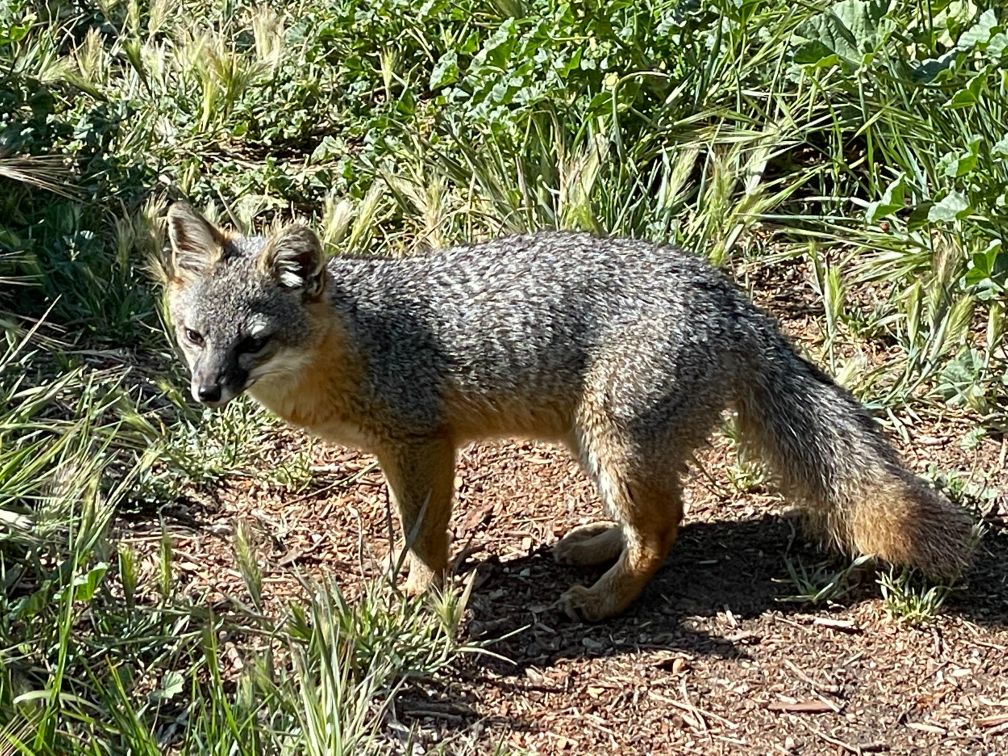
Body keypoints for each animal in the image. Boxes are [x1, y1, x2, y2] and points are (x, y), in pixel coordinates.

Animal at [163, 201, 975, 620]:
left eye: (254, 342)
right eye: (196, 336)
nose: (205, 391)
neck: (354, 339)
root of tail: (725, 290)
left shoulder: (423, 442)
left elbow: (425, 532)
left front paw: (422, 591)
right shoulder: (404, 450)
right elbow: (410, 526)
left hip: (613, 439)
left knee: (663, 528)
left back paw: (603, 600)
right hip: (602, 446)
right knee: (658, 517)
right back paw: (594, 549)